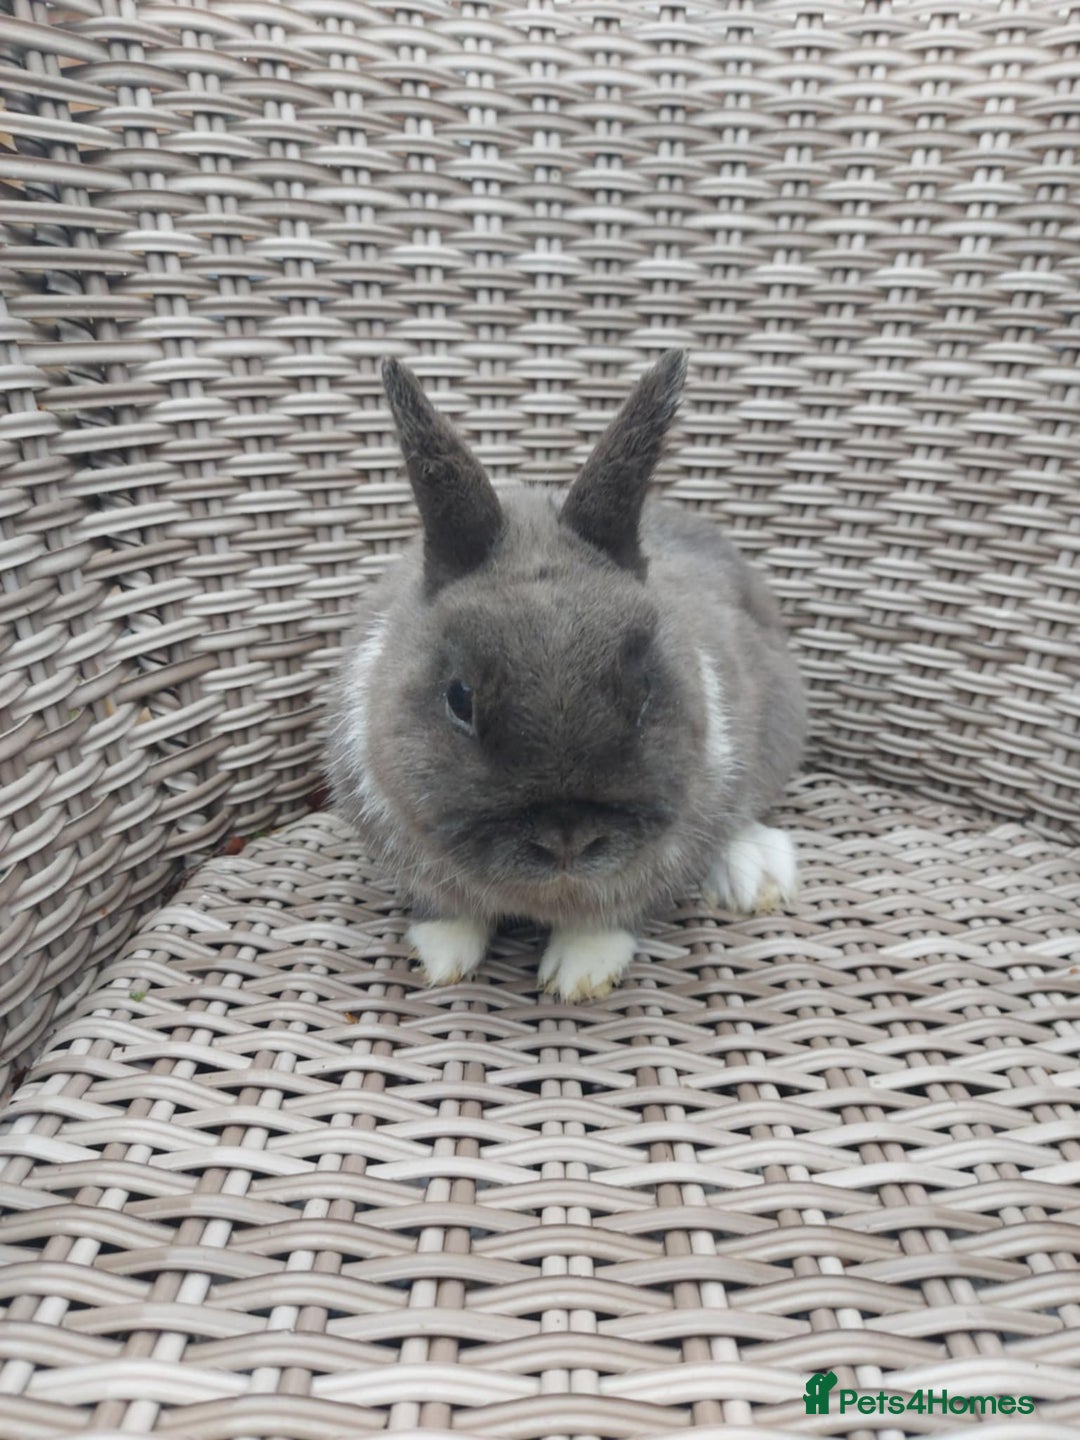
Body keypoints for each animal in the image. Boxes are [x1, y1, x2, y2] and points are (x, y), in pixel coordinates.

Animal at [327, 351, 807, 1001]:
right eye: (459, 699)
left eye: (645, 692)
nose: (565, 841)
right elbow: (448, 911)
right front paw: (441, 959)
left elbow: (611, 918)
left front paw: (578, 974)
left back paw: (755, 871)